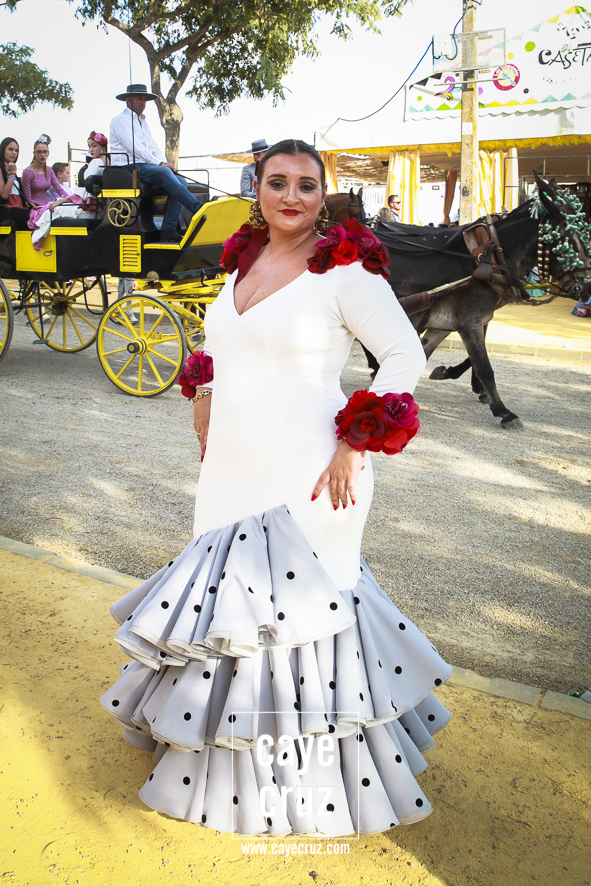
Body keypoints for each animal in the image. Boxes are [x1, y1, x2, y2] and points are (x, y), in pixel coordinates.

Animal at [367, 176, 589, 429]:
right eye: (565, 237)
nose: (586, 287)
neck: (489, 260)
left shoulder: (447, 323)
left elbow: (426, 354)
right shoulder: (469, 321)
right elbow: (484, 367)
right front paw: (503, 411)